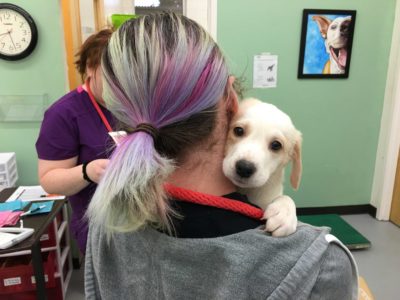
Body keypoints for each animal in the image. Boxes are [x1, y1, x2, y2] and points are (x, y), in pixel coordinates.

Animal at [223, 98, 302, 237]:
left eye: (276, 145)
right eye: (238, 130)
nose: (244, 168)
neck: (248, 191)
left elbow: (286, 197)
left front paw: (284, 213)